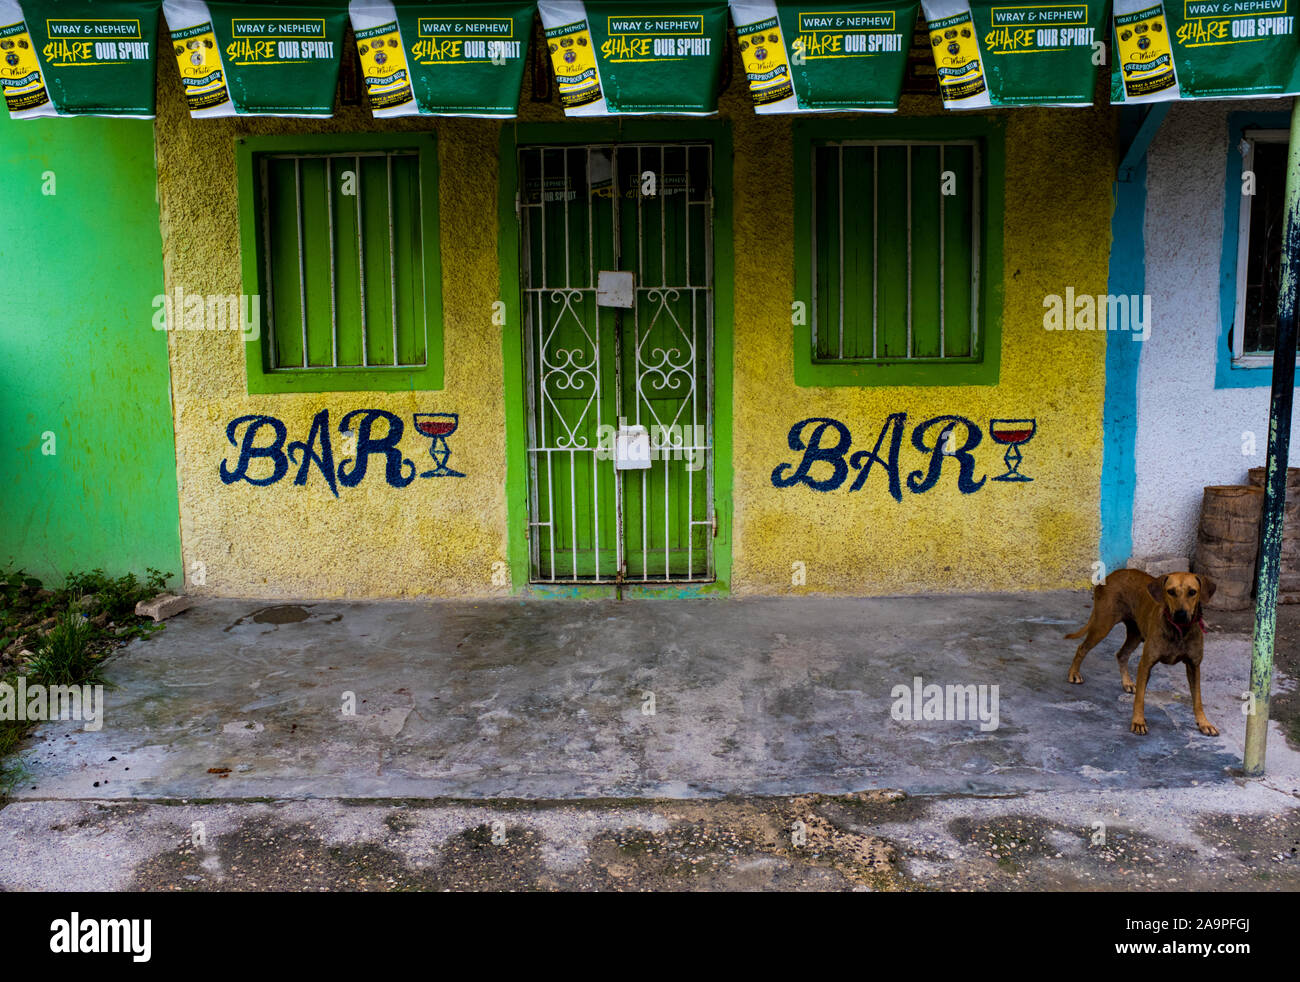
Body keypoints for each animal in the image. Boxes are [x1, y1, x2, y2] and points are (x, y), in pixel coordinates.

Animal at [1066, 569, 1216, 738]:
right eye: (1171, 592)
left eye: (1192, 592)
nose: (1181, 614)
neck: (1180, 631)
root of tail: (1112, 575)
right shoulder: (1146, 663)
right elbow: (1140, 698)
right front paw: (1138, 722)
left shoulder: (1194, 666)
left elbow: (1198, 699)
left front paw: (1204, 723)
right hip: (1103, 625)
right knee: (1082, 648)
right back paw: (1074, 674)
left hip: (1135, 634)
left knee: (1121, 654)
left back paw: (1127, 682)